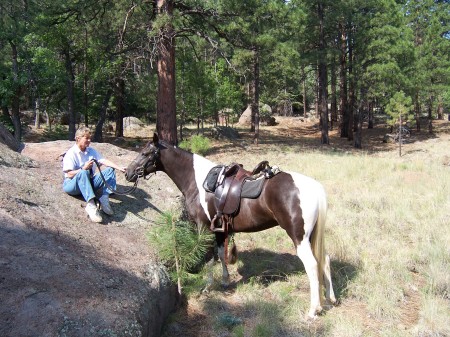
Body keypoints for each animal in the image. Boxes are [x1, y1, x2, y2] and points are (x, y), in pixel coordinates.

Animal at [125, 132, 336, 318]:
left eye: (146, 153)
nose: (127, 173)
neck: (198, 181)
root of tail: (314, 187)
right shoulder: (219, 229)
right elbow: (220, 254)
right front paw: (225, 281)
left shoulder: (204, 227)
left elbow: (209, 257)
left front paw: (207, 287)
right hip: (312, 236)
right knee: (324, 259)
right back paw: (329, 299)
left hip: (299, 237)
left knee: (312, 264)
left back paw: (313, 310)